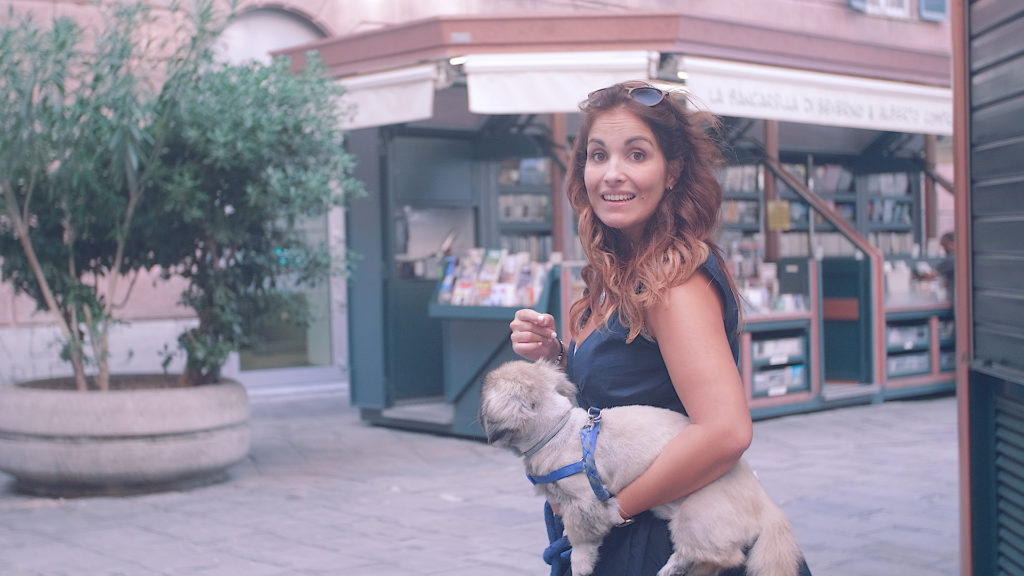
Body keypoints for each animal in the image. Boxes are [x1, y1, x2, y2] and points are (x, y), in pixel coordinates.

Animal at [481, 358, 806, 573]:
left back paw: (674, 568)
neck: (559, 429)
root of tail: (765, 504)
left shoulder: (585, 503)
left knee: (725, 557)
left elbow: (581, 541)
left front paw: (579, 564)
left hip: (693, 518)